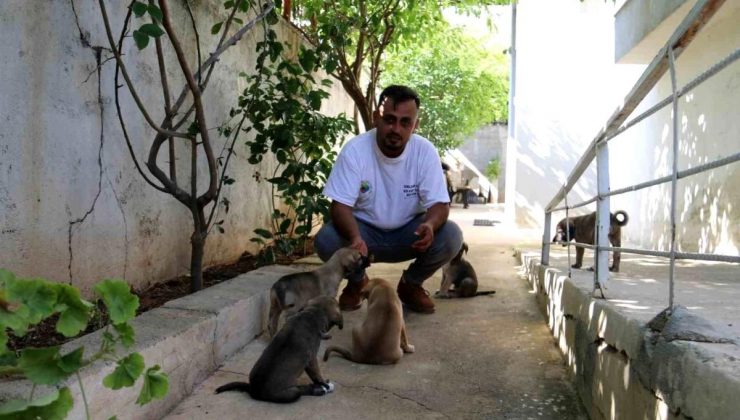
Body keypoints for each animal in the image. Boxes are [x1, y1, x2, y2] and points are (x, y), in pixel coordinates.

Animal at [212, 296, 342, 404]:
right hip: (292, 393)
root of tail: (253, 389)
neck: (312, 314)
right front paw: (324, 384)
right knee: (300, 390)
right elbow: (316, 375)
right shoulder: (311, 360)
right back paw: (317, 390)